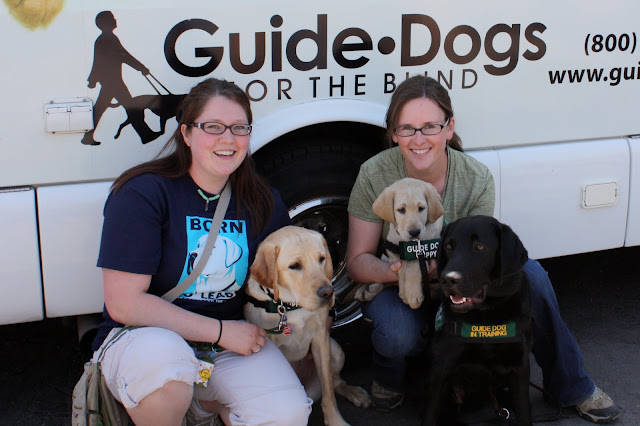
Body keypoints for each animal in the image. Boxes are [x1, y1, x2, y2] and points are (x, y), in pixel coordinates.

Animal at [245, 225, 370, 424]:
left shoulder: (320, 338)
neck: (290, 306)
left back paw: (354, 393)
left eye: (321, 259)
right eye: (294, 266)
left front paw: (335, 420)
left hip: (336, 350)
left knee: (336, 382)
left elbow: (328, 392)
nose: (328, 292)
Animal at [372, 177, 442, 310]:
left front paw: (412, 294)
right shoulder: (394, 253)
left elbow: (413, 266)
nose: (414, 232)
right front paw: (404, 292)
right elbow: (402, 268)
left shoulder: (423, 251)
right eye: (401, 210)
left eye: (421, 208)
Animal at [420, 216, 536, 426]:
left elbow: (524, 412)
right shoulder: (440, 368)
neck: (485, 317)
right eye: (449, 246)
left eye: (480, 247)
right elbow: (430, 415)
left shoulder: (519, 366)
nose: (448, 279)